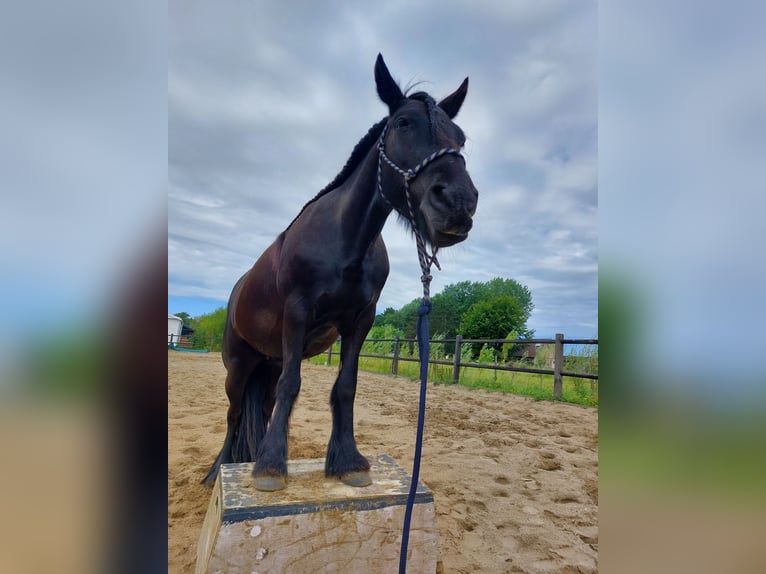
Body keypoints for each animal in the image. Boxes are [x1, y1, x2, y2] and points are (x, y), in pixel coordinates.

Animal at [204, 56, 480, 492]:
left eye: (461, 138)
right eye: (402, 123)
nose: (458, 203)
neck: (345, 241)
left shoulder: (360, 320)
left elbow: (346, 386)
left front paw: (347, 461)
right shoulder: (298, 312)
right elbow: (293, 385)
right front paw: (270, 467)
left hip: (268, 362)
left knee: (261, 408)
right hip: (238, 365)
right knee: (234, 414)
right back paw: (219, 470)